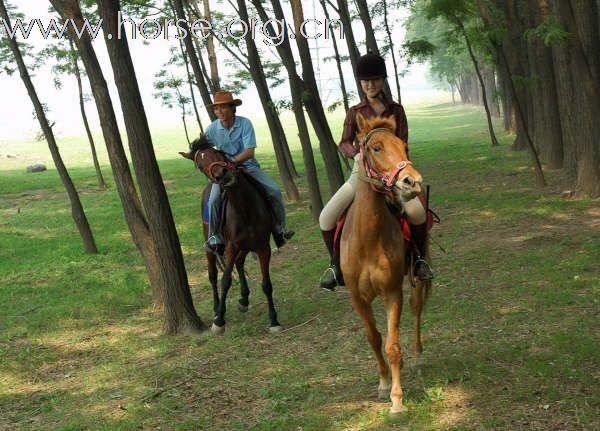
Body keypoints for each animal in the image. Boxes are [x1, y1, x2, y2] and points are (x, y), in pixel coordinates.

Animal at [179, 138, 282, 334]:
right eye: (200, 166)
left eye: (217, 153)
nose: (222, 175)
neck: (244, 208)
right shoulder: (231, 247)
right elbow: (225, 280)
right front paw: (219, 320)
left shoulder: (263, 247)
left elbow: (267, 284)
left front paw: (274, 320)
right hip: (212, 247)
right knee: (213, 275)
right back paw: (216, 307)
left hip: (245, 247)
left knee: (240, 263)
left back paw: (244, 299)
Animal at [338, 114, 432, 416]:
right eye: (376, 148)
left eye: (404, 145)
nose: (412, 182)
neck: (368, 238)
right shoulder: (358, 297)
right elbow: (374, 338)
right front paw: (382, 383)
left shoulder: (392, 293)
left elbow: (393, 346)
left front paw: (397, 400)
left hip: (417, 277)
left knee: (417, 308)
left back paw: (418, 356)